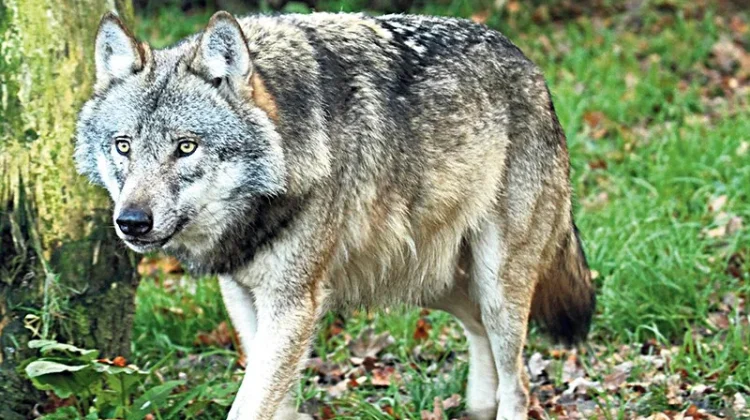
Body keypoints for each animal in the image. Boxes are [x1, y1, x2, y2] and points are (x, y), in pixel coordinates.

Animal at [75, 9, 595, 420]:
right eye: (123, 146)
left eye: (186, 147)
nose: (132, 221)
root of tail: (532, 67)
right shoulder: (242, 296)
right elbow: (276, 401)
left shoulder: (292, 305)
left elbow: (251, 404)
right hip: (436, 282)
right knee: (480, 337)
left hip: (495, 285)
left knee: (518, 384)